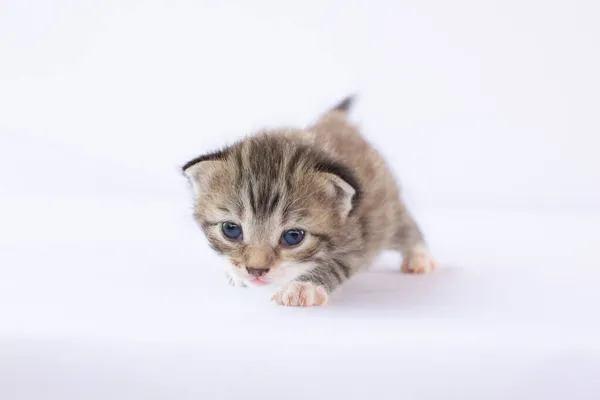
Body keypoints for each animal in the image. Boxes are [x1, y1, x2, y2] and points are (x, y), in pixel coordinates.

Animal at [182, 96, 436, 306]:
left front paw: (302, 286)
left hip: (386, 208)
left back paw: (420, 257)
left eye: (293, 237)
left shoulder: (357, 237)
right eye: (231, 229)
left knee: (405, 226)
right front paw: (234, 274)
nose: (256, 271)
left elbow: (333, 264)